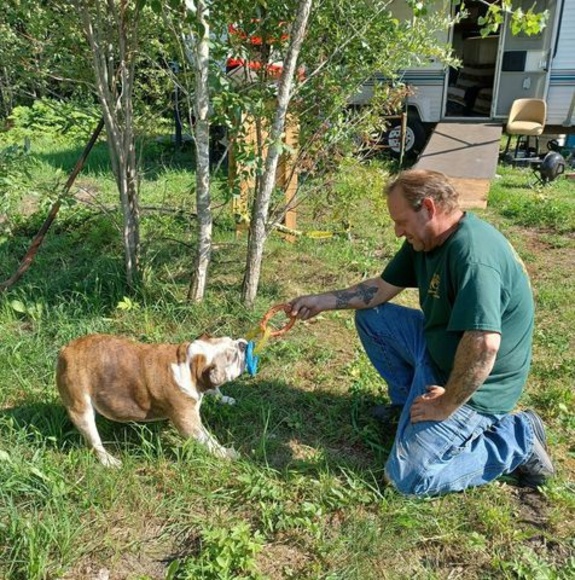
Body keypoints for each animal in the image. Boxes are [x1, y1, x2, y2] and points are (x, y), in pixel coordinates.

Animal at [56, 333, 247, 467]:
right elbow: (208, 441)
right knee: (94, 442)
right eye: (232, 357)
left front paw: (224, 398)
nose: (242, 345)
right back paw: (109, 462)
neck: (189, 364)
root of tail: (65, 350)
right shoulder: (189, 423)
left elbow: (214, 388)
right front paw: (226, 453)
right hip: (81, 409)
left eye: (231, 339)